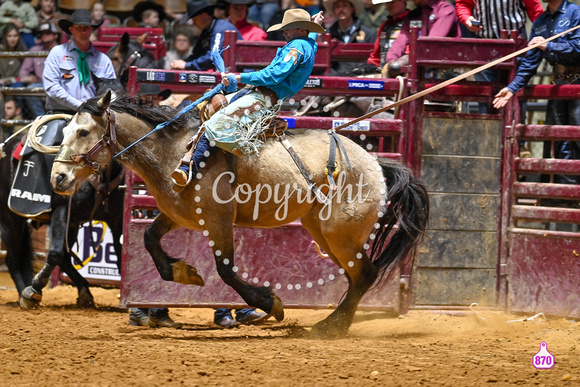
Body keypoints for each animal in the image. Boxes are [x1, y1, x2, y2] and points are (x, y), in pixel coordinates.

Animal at [51, 92, 430, 338]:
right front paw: (186, 273)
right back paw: (333, 323)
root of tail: (375, 163)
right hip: (325, 233)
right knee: (357, 278)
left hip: (342, 234)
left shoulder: (218, 220)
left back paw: (330, 328)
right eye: (64, 131)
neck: (174, 152)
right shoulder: (177, 215)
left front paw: (270, 303)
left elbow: (226, 270)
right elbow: (148, 240)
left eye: (83, 132)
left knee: (364, 275)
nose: (58, 178)